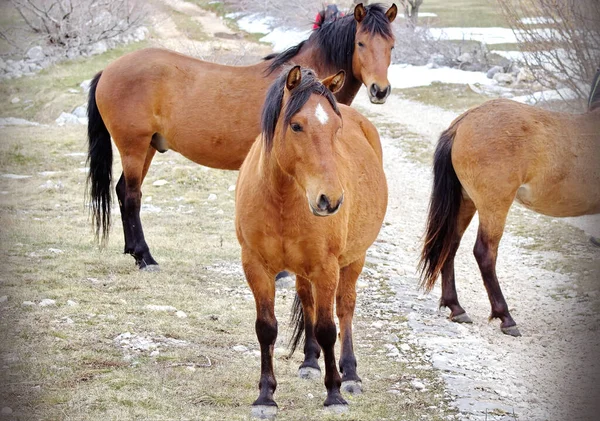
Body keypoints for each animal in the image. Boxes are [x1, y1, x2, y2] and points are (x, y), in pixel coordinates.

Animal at [85, 2, 394, 270]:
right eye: (361, 43)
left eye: (391, 45)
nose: (380, 90)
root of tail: (108, 70)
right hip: (133, 147)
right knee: (132, 195)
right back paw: (145, 258)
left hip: (147, 147)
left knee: (123, 191)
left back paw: (133, 251)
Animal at [234, 65, 390, 414]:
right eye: (296, 125)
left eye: (336, 128)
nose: (329, 200)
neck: (281, 199)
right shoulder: (256, 266)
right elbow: (266, 328)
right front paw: (265, 396)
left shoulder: (326, 267)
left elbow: (327, 328)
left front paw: (334, 394)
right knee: (308, 302)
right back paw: (309, 362)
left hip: (352, 260)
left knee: (344, 308)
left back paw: (351, 374)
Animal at [418, 69, 600, 338]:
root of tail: (462, 124)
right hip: (494, 205)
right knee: (484, 253)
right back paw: (505, 317)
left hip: (466, 201)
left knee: (450, 245)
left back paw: (456, 307)